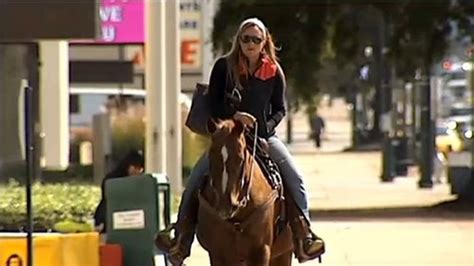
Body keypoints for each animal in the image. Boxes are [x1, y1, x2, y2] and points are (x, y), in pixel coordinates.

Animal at [195, 118, 292, 266]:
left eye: (240, 158)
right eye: (210, 157)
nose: (225, 206)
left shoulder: (262, 251)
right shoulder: (217, 253)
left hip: (283, 255)